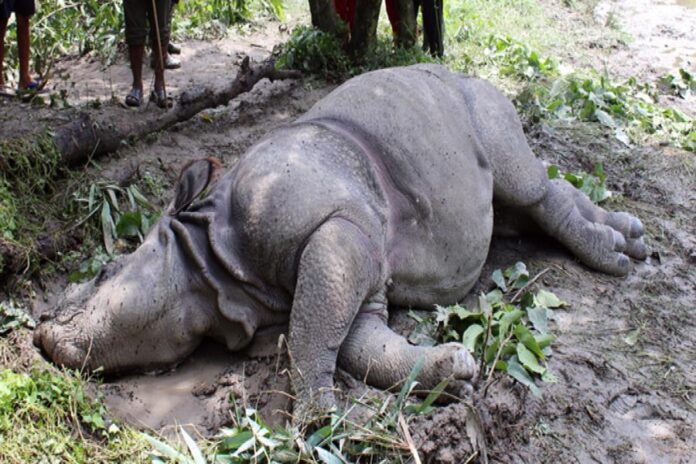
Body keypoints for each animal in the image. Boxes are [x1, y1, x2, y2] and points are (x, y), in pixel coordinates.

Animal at [34, 65, 646, 415]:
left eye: (102, 274)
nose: (41, 333)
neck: (209, 259)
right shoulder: (359, 265)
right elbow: (358, 344)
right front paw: (452, 372)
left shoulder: (337, 233)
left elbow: (314, 332)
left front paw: (314, 418)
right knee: (522, 202)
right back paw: (632, 241)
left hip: (477, 98)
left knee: (522, 183)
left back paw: (616, 261)